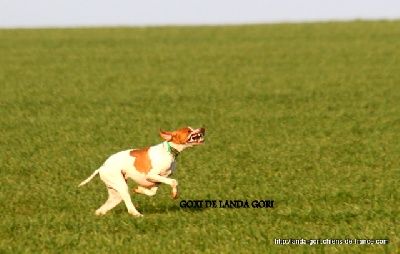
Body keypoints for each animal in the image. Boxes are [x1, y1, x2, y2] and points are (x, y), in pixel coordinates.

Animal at [77, 126, 205, 216]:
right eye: (188, 130)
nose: (203, 128)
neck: (169, 151)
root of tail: (102, 167)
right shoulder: (151, 175)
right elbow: (174, 181)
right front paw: (174, 194)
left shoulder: (157, 180)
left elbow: (152, 192)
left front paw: (139, 189)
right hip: (121, 186)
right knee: (129, 208)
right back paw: (138, 215)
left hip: (116, 194)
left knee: (102, 209)